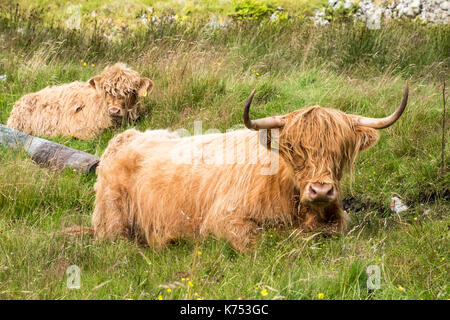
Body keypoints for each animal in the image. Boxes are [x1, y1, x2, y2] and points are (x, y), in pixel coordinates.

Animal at [90, 82, 408, 252]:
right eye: (294, 150)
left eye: (340, 150)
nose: (320, 190)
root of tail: (125, 138)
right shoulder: (222, 219)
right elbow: (258, 242)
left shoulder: (336, 222)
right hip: (112, 221)